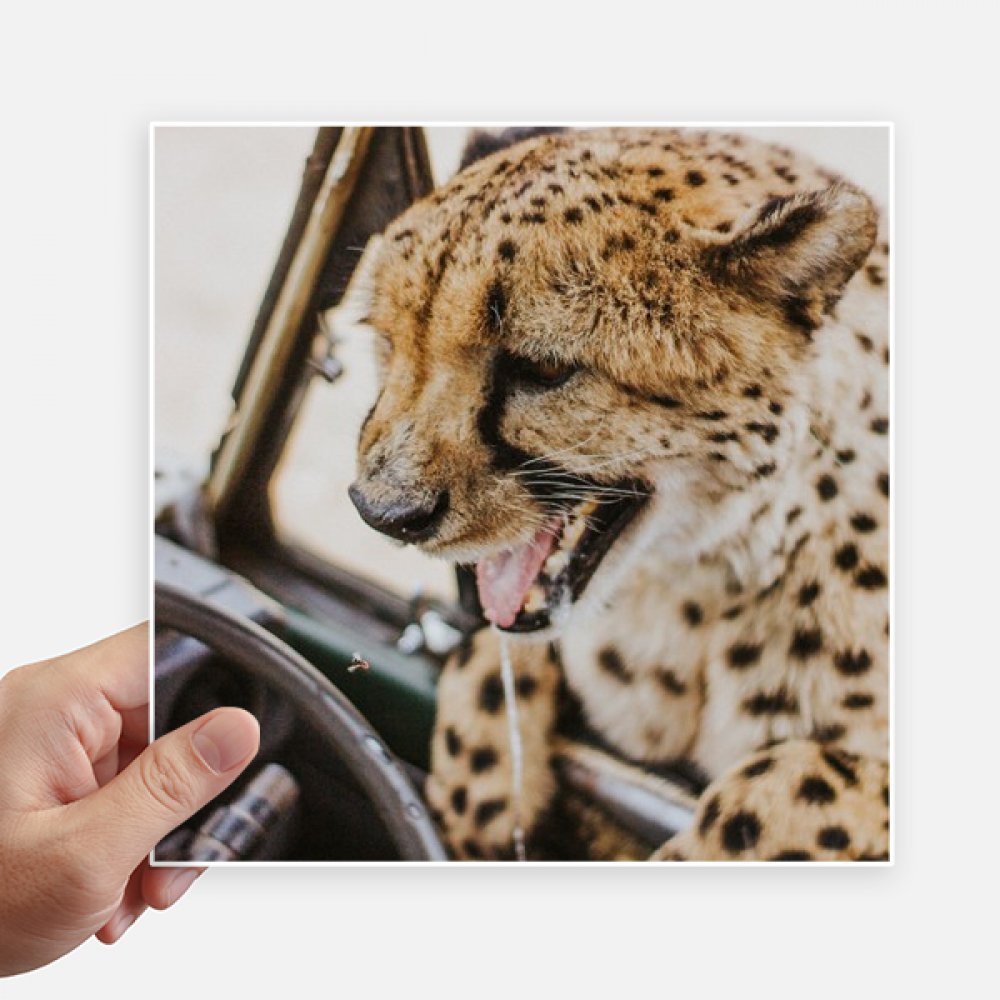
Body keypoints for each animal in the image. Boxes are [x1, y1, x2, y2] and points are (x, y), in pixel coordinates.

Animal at [346, 127, 889, 861]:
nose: (383, 511)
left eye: (542, 368)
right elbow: (488, 652)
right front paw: (477, 790)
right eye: (389, 340)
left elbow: (778, 784)